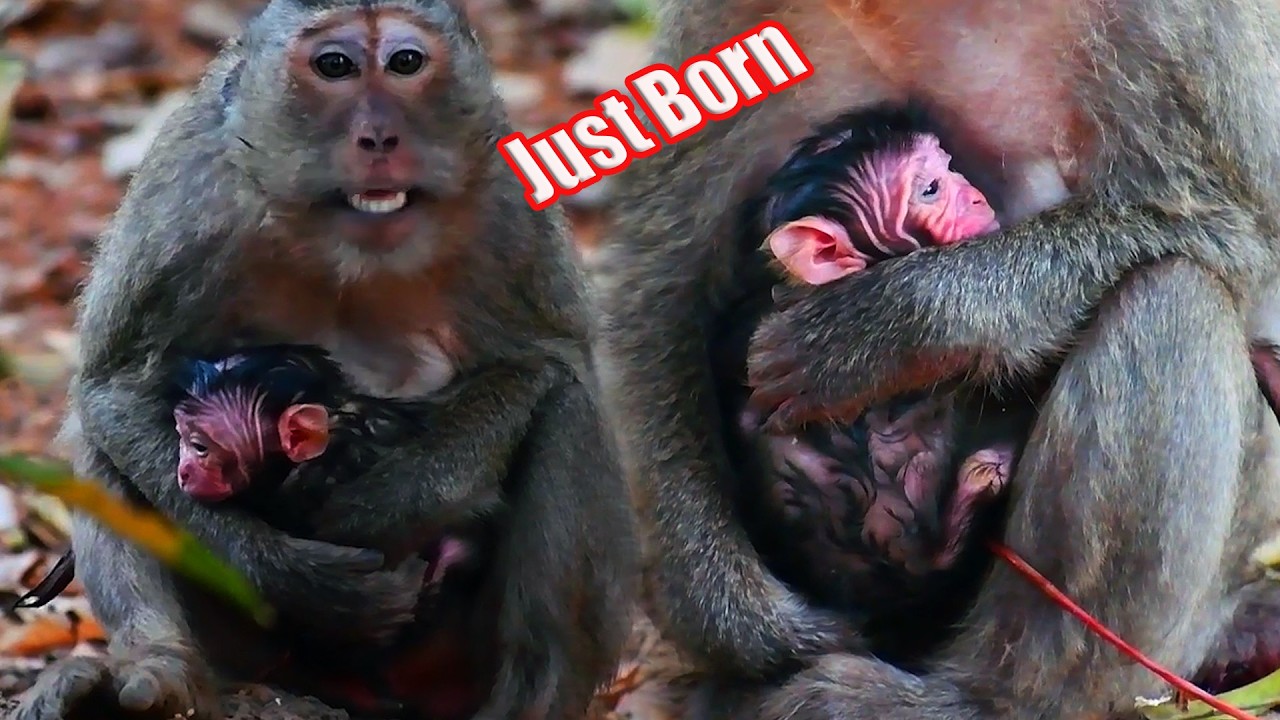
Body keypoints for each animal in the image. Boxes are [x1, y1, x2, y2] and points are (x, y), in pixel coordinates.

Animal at [10, 0, 638, 718]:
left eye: (405, 62)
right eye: (334, 66)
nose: (379, 137)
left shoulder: (506, 197)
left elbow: (551, 363)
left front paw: (377, 508)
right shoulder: (187, 197)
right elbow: (110, 389)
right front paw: (297, 574)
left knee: (566, 410)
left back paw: (532, 693)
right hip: (254, 659)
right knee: (100, 446)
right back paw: (157, 673)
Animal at [590, 1, 1280, 718]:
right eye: (927, 188)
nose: (968, 199)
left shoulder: (1189, 26)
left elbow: (1235, 234)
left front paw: (878, 329)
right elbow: (665, 275)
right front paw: (733, 615)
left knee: (1174, 292)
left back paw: (989, 699)